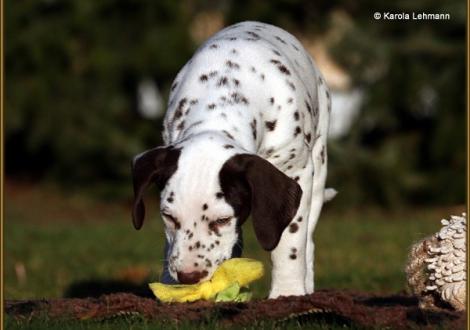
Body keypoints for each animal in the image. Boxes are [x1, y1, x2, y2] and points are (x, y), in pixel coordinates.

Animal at [130, 21, 332, 300]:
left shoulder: (295, 170)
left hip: (318, 163)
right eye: (168, 217)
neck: (224, 97)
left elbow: (290, 241)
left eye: (222, 220)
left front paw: (287, 292)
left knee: (308, 237)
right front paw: (170, 286)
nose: (188, 276)